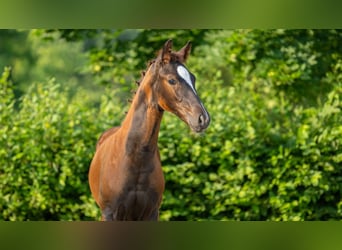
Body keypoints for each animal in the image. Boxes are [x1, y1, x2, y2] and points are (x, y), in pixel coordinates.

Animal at [88, 39, 210, 221]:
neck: (135, 157)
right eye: (172, 80)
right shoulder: (110, 213)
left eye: (193, 78)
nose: (203, 118)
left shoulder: (151, 213)